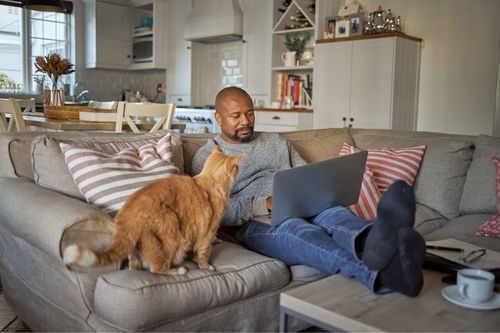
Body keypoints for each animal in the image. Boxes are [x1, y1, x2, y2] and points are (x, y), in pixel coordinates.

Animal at [62, 146, 242, 274]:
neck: (209, 180)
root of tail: (126, 217)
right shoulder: (208, 233)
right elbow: (204, 254)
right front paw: (206, 266)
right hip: (170, 232)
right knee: (157, 269)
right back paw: (179, 270)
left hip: (136, 250)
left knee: (135, 266)